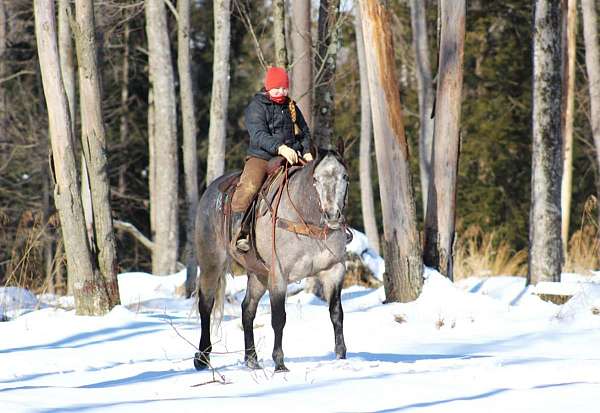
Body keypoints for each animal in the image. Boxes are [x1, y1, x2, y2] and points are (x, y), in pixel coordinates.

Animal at [192, 150, 352, 372]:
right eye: (316, 179)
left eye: (345, 176)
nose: (332, 215)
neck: (306, 218)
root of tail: (210, 192)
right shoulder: (279, 275)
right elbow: (279, 318)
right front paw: (279, 363)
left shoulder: (334, 270)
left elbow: (336, 313)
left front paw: (341, 356)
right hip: (211, 264)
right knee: (206, 305)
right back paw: (202, 358)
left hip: (258, 274)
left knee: (247, 309)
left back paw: (251, 359)